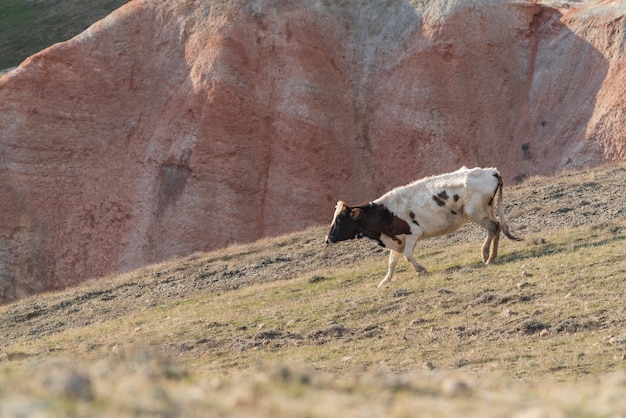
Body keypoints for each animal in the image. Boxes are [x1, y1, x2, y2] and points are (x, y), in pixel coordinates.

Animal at [324, 167, 520, 288]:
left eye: (339, 219)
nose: (328, 239)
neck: (384, 213)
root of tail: (491, 171)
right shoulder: (397, 239)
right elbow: (392, 262)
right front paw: (384, 282)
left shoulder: (412, 233)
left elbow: (408, 255)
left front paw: (422, 270)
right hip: (487, 209)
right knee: (497, 227)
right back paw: (492, 256)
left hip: (477, 212)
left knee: (493, 227)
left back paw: (486, 255)